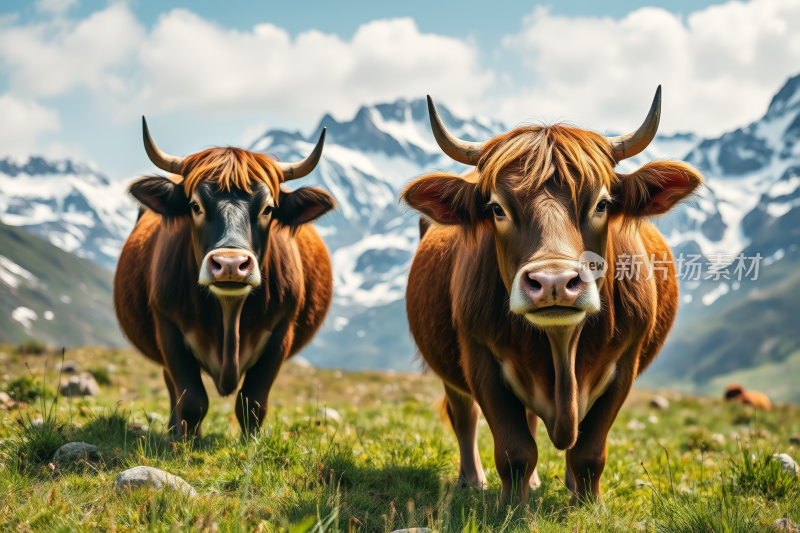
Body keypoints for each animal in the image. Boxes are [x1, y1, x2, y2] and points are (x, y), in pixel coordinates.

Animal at [113, 118, 334, 434]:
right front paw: (183, 442)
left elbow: (252, 402)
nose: (230, 264)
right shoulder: (167, 326)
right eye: (195, 206)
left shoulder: (282, 330)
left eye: (268, 208)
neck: (230, 314)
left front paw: (252, 443)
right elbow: (191, 400)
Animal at [404, 89, 704, 504]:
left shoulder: (625, 359)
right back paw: (473, 481)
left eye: (602, 203)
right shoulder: (478, 353)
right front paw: (512, 506)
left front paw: (588, 505)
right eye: (496, 208)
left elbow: (588, 451)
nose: (554, 282)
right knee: (463, 414)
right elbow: (515, 449)